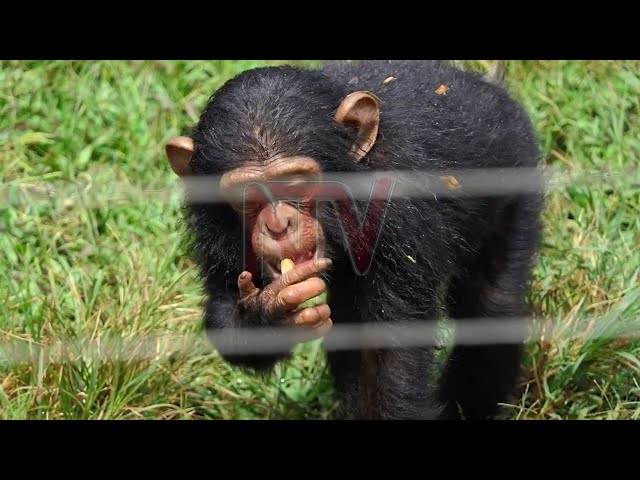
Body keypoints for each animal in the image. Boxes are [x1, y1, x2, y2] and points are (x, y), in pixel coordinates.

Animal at [166, 61, 544, 420]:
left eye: (295, 183)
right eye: (249, 195)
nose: (278, 223)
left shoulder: (397, 209)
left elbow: (390, 360)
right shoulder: (213, 231)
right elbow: (225, 313)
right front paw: (272, 311)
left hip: (518, 178)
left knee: (492, 304)